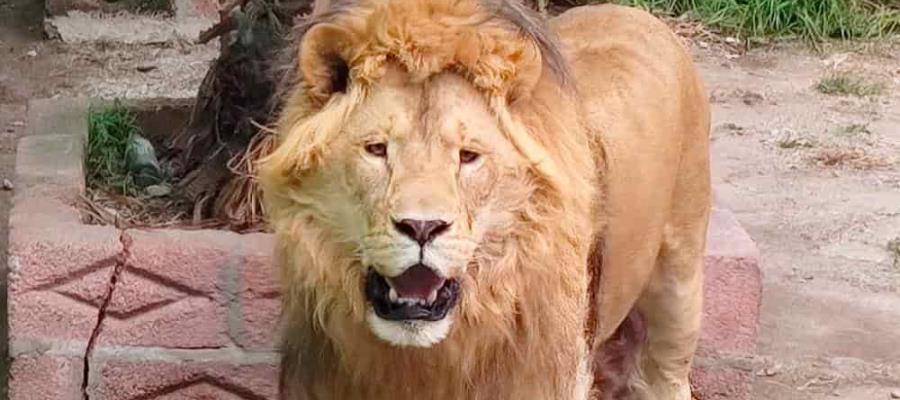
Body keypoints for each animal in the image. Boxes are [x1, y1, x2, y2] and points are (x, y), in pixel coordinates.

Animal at [258, 0, 711, 399]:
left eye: (468, 156)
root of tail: (638, 15)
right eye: (376, 149)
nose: (422, 227)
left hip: (679, 286)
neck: (425, 362)